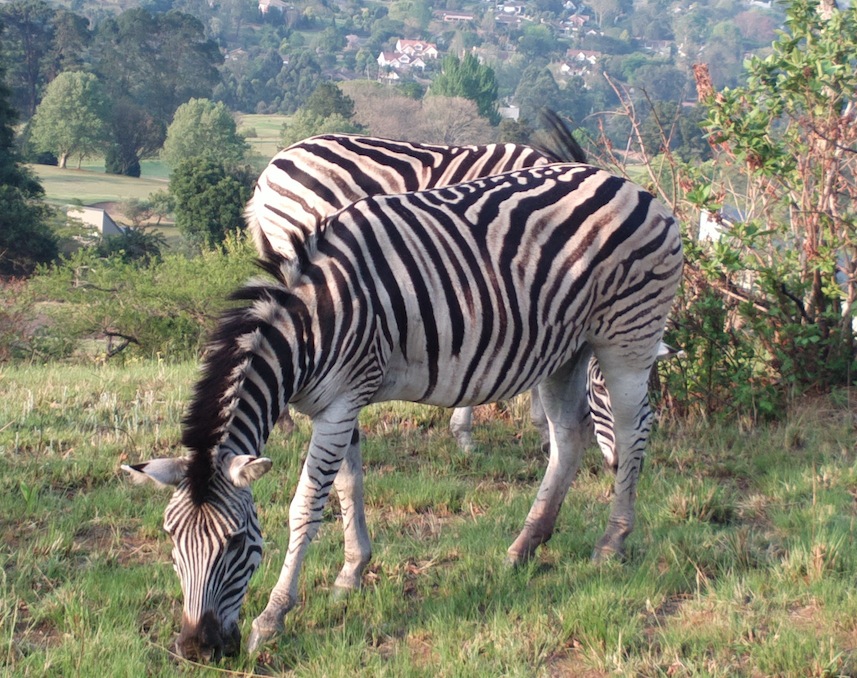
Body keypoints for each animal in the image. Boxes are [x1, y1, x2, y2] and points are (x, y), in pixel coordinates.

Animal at [122, 162, 684, 660]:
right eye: (171, 539)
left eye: (238, 543)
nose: (196, 650)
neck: (312, 324)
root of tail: (633, 187)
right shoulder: (336, 402)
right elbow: (348, 486)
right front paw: (351, 574)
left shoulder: (342, 401)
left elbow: (306, 505)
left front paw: (273, 617)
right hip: (563, 350)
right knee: (568, 437)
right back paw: (524, 546)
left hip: (627, 339)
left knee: (632, 431)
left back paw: (612, 543)